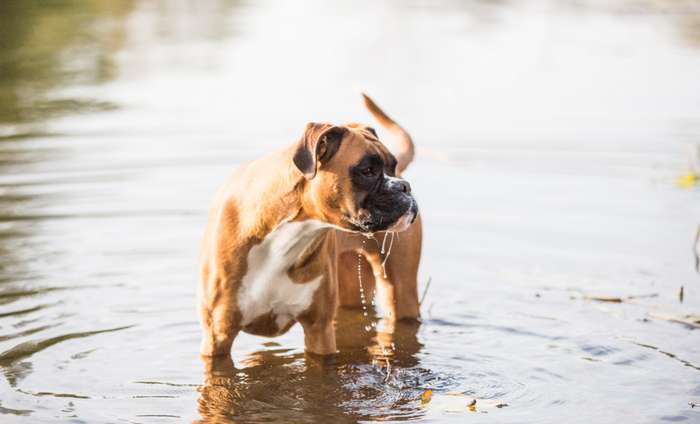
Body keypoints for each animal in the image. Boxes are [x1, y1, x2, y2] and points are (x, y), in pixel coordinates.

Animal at [200, 94, 424, 356]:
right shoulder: (218, 335)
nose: (404, 186)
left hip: (400, 290)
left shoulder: (319, 330)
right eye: (368, 171)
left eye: (393, 166)